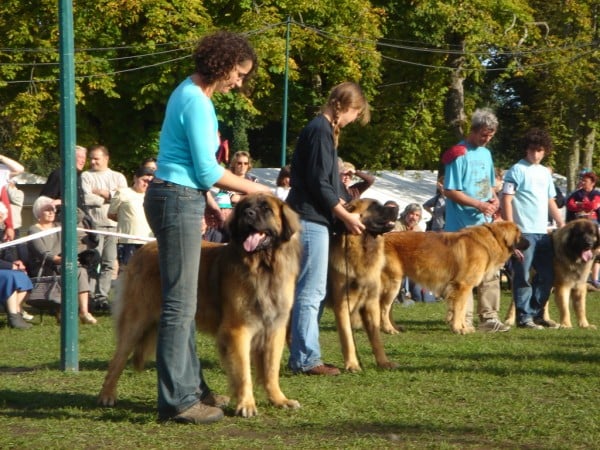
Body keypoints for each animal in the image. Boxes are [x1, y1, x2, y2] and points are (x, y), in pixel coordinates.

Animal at [99, 192, 304, 416]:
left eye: (266, 209)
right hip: (136, 321)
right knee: (117, 359)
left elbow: (271, 369)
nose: (248, 214)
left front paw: (279, 399)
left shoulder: (275, 328)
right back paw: (107, 395)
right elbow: (243, 372)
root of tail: (142, 249)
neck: (263, 266)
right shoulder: (238, 329)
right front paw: (246, 404)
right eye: (245, 208)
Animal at [328, 199, 398, 370]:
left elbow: (376, 338)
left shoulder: (370, 303)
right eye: (374, 206)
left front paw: (384, 362)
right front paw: (352, 365)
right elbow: (348, 338)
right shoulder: (342, 305)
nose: (396, 207)